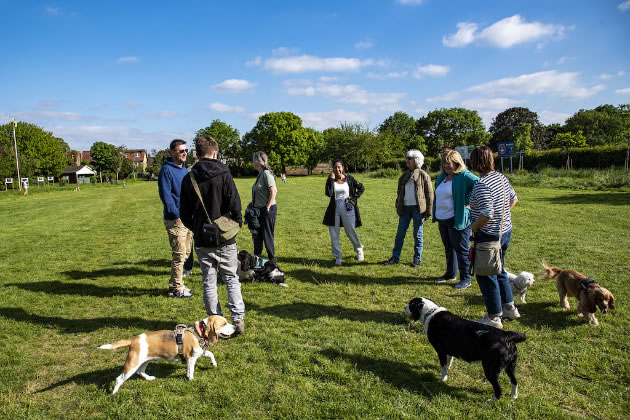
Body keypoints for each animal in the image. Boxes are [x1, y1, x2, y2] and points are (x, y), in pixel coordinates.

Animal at [99, 316, 237, 394]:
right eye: (224, 324)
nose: (235, 327)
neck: (198, 333)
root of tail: (133, 340)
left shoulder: (200, 352)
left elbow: (210, 353)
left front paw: (213, 363)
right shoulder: (191, 358)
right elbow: (191, 371)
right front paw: (191, 379)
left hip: (145, 360)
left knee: (140, 371)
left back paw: (149, 378)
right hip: (132, 364)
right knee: (119, 379)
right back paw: (114, 394)